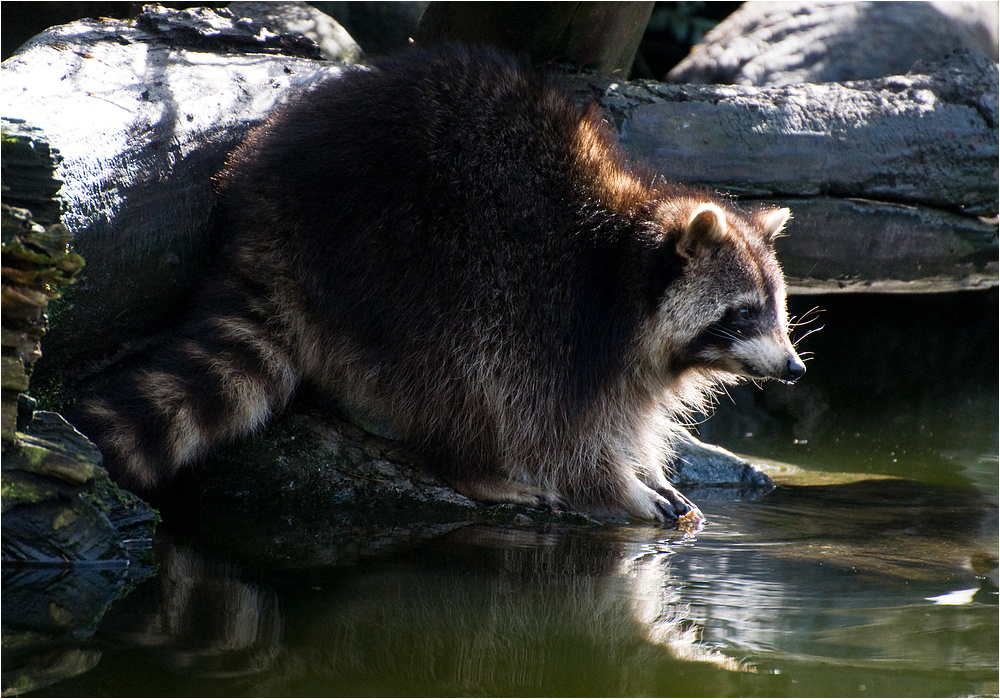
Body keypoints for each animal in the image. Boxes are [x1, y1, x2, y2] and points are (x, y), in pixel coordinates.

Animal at [80, 45, 804, 524]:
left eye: (777, 308)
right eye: (743, 313)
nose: (795, 368)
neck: (625, 258)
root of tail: (264, 218)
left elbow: (630, 410)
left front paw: (649, 465)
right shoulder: (563, 319)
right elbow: (559, 431)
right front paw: (616, 486)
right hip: (403, 255)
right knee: (458, 367)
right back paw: (470, 464)